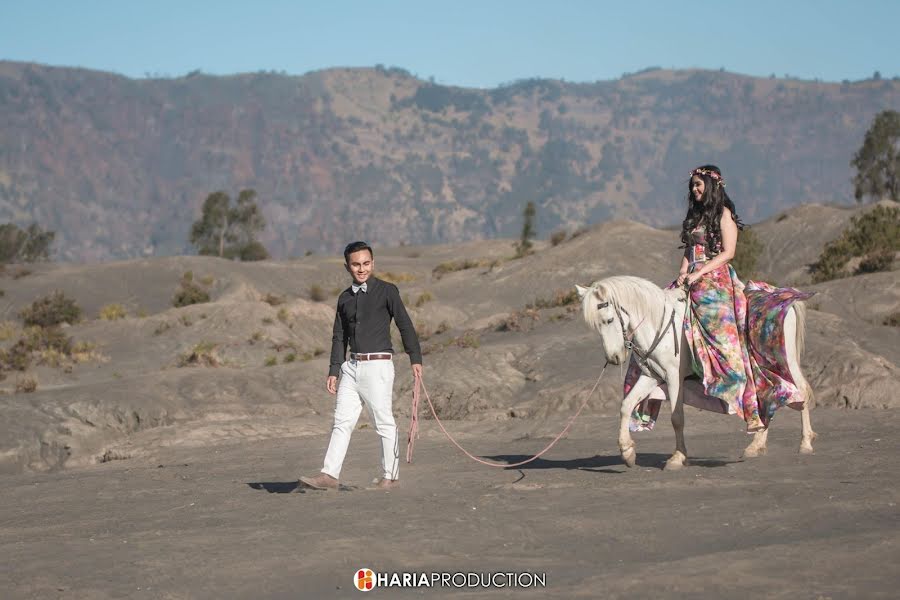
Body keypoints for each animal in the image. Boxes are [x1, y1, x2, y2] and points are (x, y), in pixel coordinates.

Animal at [576, 276, 816, 468]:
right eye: (596, 326)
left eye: (609, 320)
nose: (614, 358)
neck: (657, 322)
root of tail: (784, 296)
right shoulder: (651, 376)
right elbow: (626, 406)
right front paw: (627, 453)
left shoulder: (674, 378)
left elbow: (677, 418)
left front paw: (677, 458)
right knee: (766, 395)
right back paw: (756, 446)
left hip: (786, 361)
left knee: (800, 392)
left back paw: (805, 444)